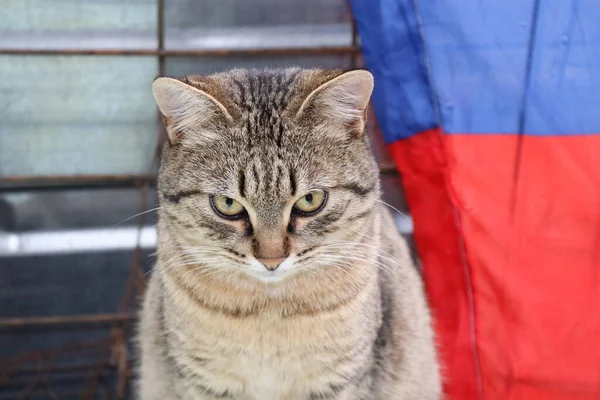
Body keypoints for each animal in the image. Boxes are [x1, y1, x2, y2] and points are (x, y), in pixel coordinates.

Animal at [138, 69, 442, 400]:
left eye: (310, 200)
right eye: (228, 205)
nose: (272, 259)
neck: (269, 312)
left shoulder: (339, 380)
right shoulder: (203, 381)